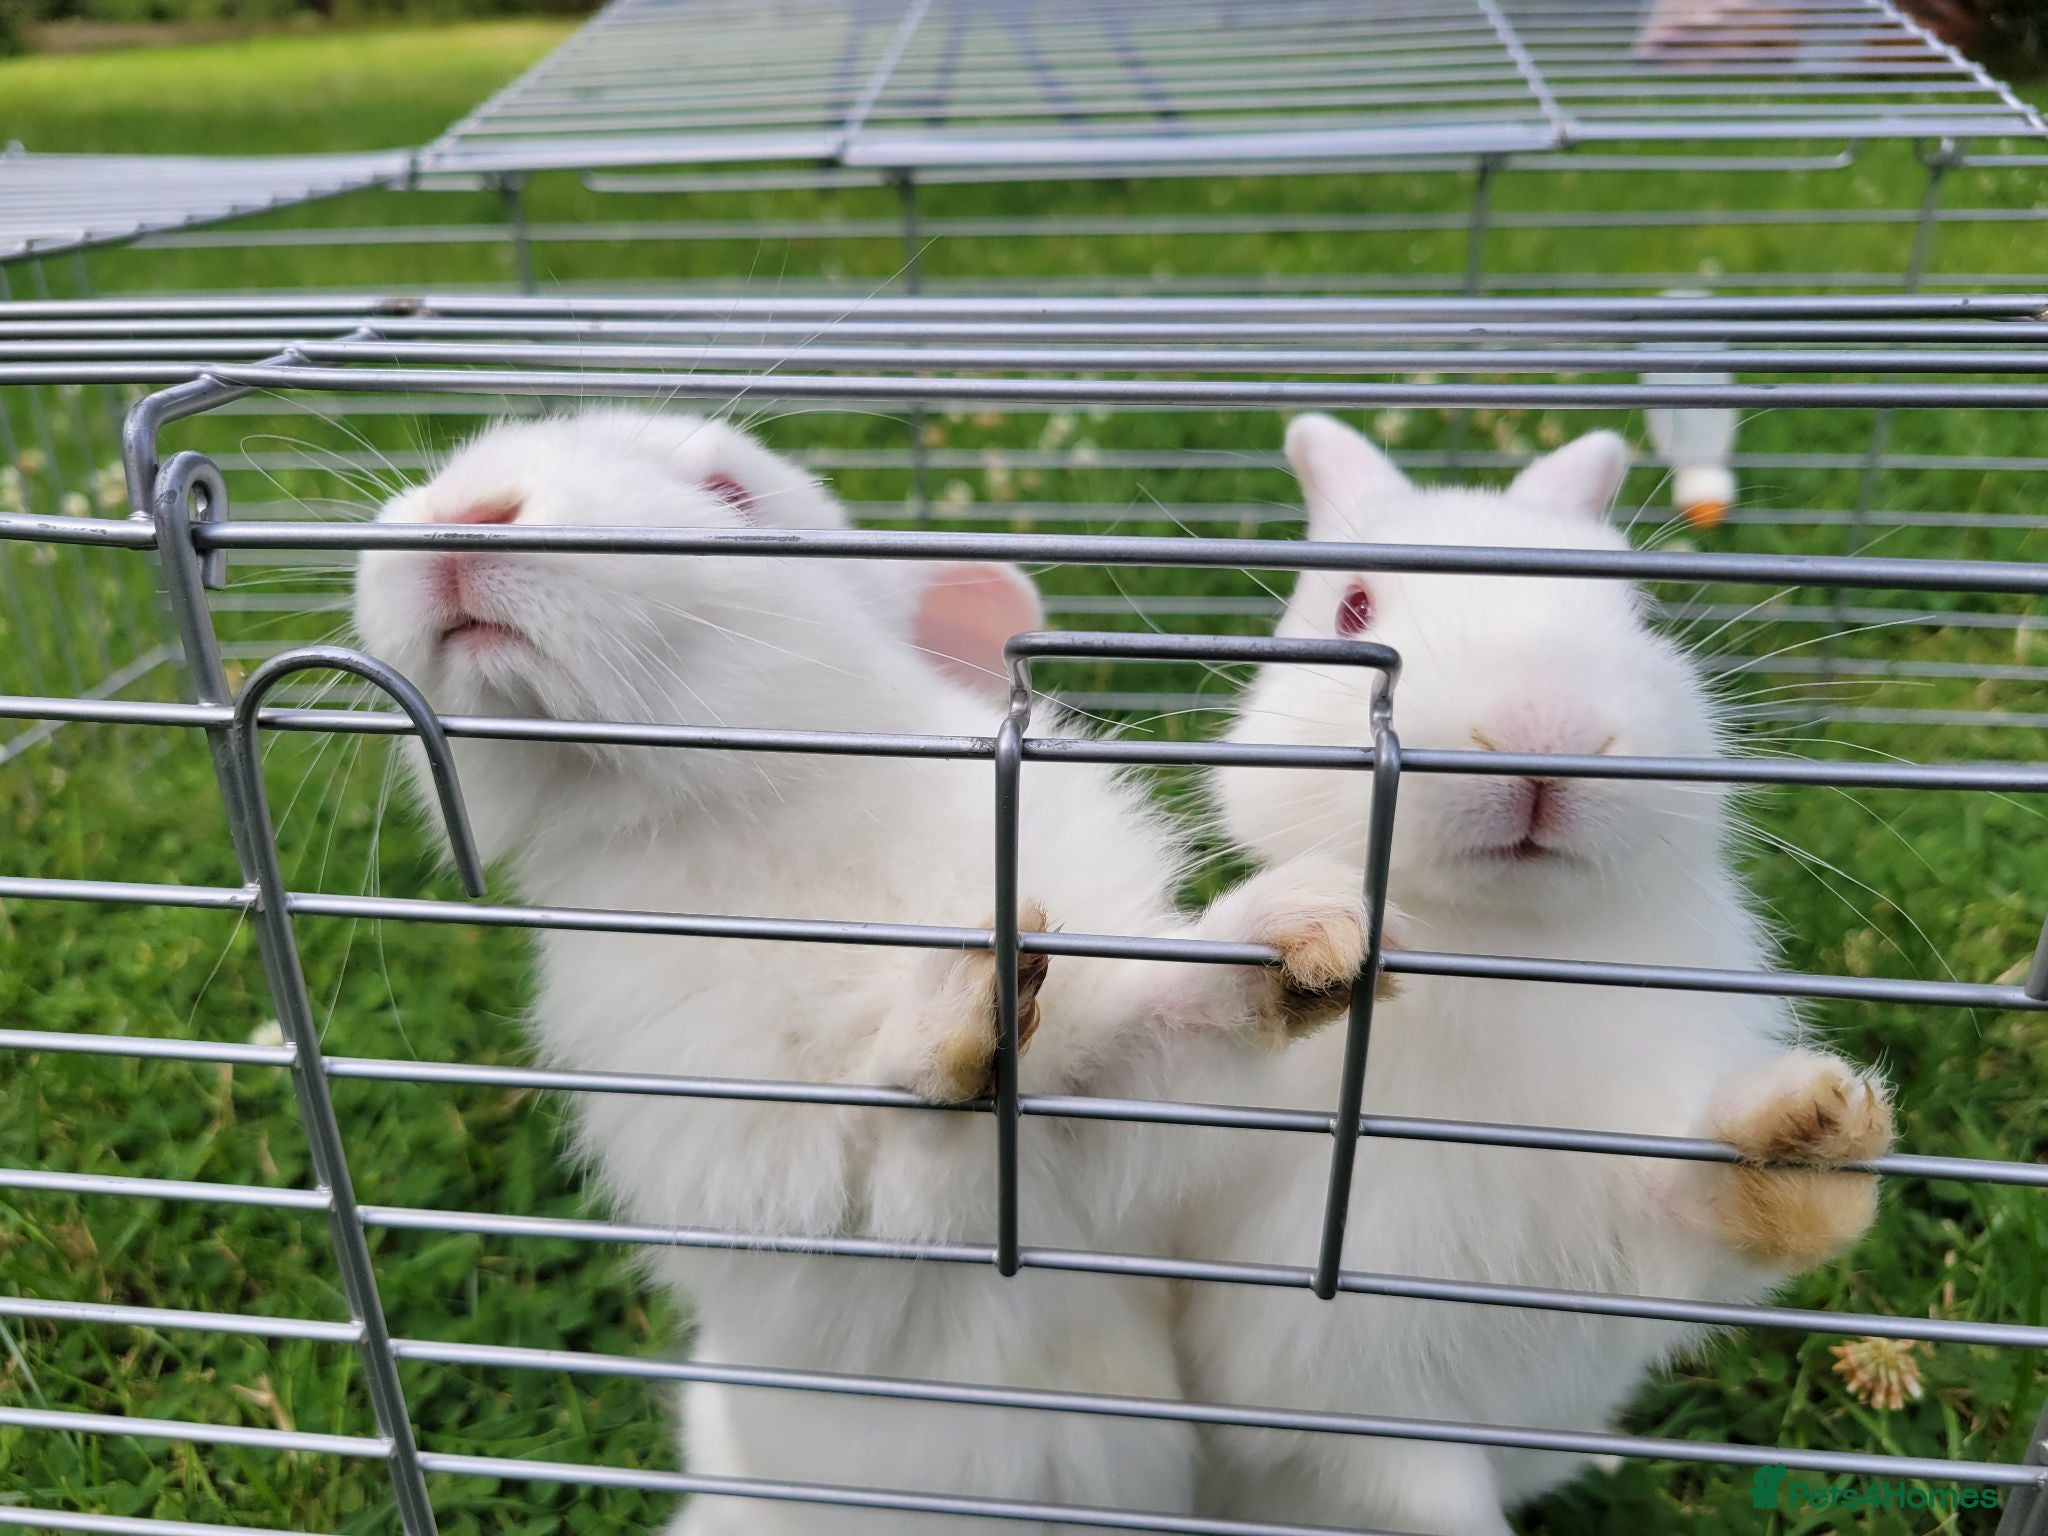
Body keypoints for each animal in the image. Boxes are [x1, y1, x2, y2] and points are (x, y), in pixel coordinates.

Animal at [351, 407, 1378, 1534]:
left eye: (730, 495)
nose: (466, 510)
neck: (761, 826)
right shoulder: (790, 1190)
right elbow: (906, 1141)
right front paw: (962, 1005)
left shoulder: (1098, 1111)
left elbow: (1155, 1030)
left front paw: (1312, 930)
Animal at [1173, 414, 1894, 1536]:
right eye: (1352, 609)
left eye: (1640, 612)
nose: (1541, 735)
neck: (1501, 949)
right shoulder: (1337, 1389)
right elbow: (1435, 1499)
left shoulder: (1633, 1215)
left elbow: (1718, 1207)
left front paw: (1816, 1129)